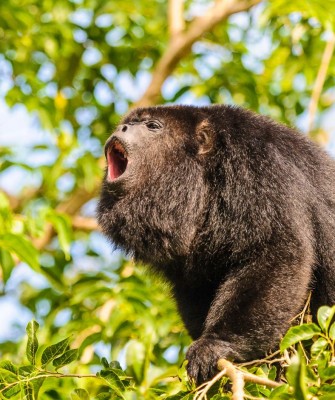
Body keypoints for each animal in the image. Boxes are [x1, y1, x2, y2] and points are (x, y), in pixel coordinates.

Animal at [96, 105, 335, 384]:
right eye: (127, 124)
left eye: (152, 126)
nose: (121, 128)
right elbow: (195, 284)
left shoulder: (259, 169)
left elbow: (277, 252)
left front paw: (217, 343)